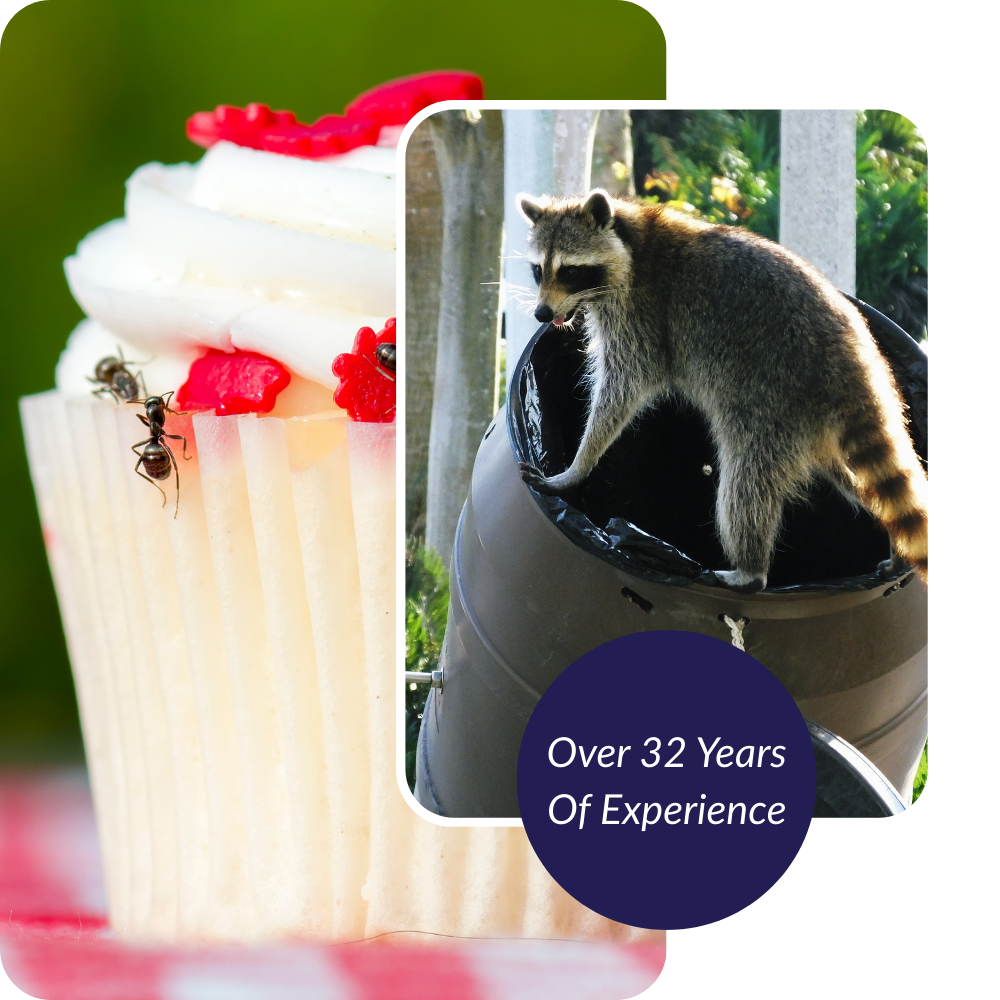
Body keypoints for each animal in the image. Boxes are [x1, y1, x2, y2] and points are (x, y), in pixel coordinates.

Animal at [516, 189, 928, 592]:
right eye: (538, 270)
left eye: (570, 271)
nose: (541, 313)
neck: (630, 238)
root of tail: (852, 361)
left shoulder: (641, 313)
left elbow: (622, 388)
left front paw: (578, 466)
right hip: (811, 425)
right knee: (856, 480)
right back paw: (891, 542)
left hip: (775, 403)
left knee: (746, 480)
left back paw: (750, 570)